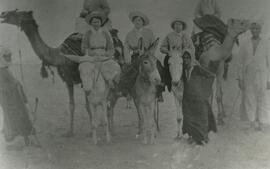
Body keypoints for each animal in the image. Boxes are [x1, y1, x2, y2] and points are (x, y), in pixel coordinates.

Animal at [0, 9, 124, 137]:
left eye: (16, 12)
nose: (3, 14)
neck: (61, 57)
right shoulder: (68, 80)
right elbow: (72, 105)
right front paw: (70, 131)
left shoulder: (83, 78)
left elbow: (88, 104)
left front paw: (91, 131)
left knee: (111, 98)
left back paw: (112, 128)